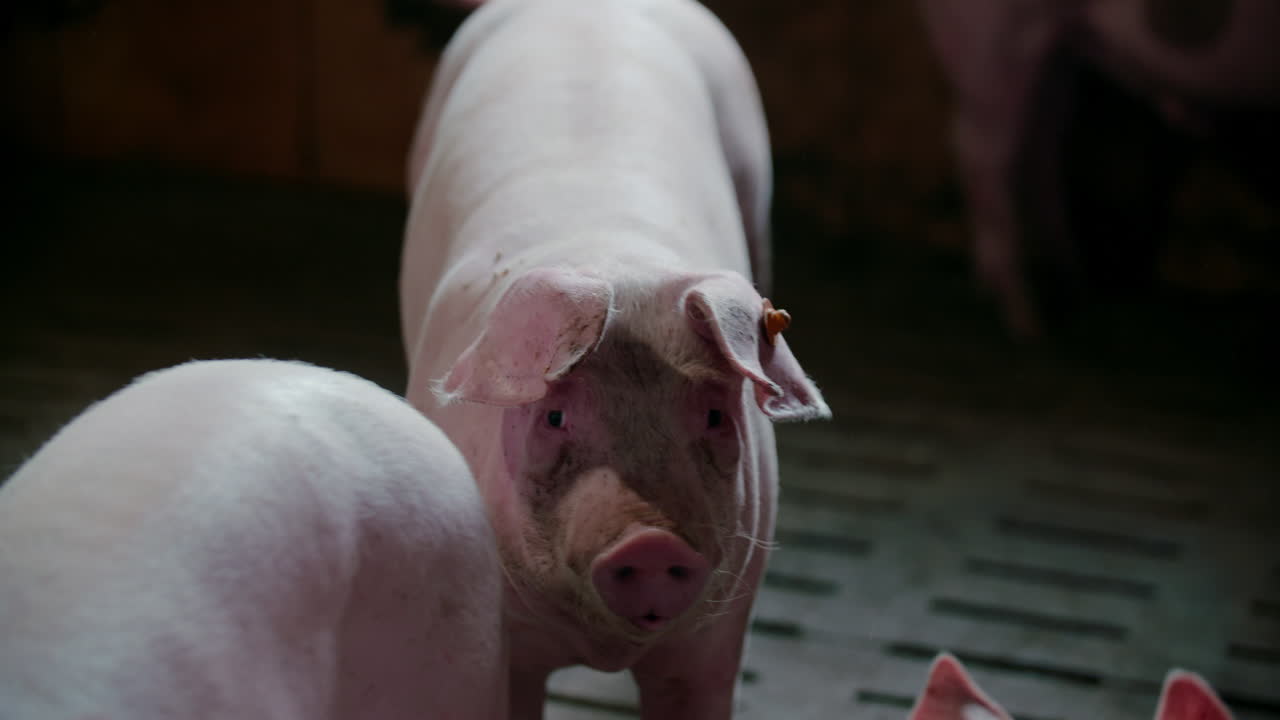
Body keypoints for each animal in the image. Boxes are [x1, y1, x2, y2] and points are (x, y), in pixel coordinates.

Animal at [917, 0, 1280, 334]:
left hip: (1056, 58)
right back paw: (1028, 324)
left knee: (1038, 152)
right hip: (995, 43)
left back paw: (1072, 290)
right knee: (983, 152)